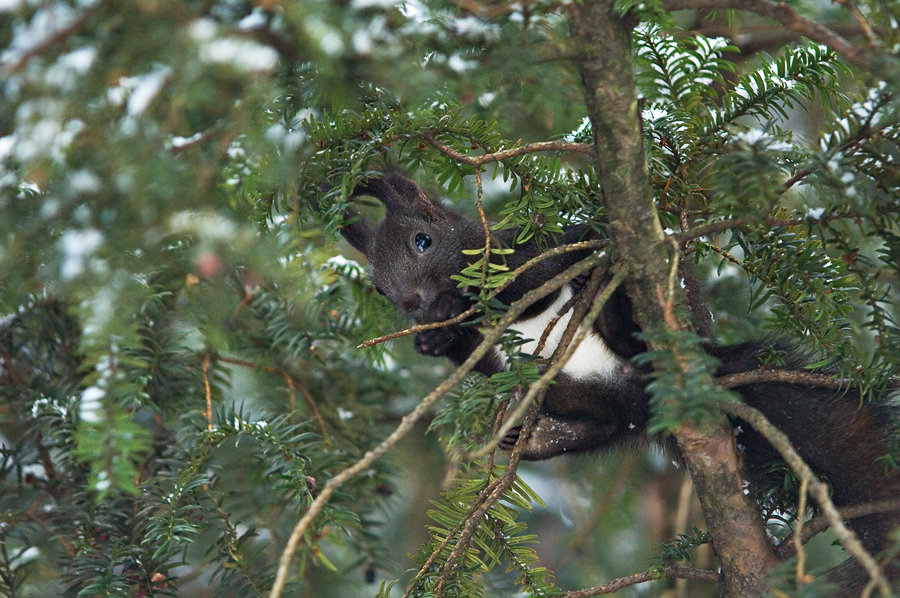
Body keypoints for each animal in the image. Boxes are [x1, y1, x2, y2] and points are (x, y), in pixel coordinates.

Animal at [340, 170, 900, 596]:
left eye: (423, 241)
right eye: (377, 286)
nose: (411, 303)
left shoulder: (527, 255)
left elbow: (528, 282)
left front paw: (464, 307)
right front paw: (434, 338)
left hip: (644, 321)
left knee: (626, 334)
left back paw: (607, 313)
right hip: (590, 398)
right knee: (603, 421)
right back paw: (534, 435)